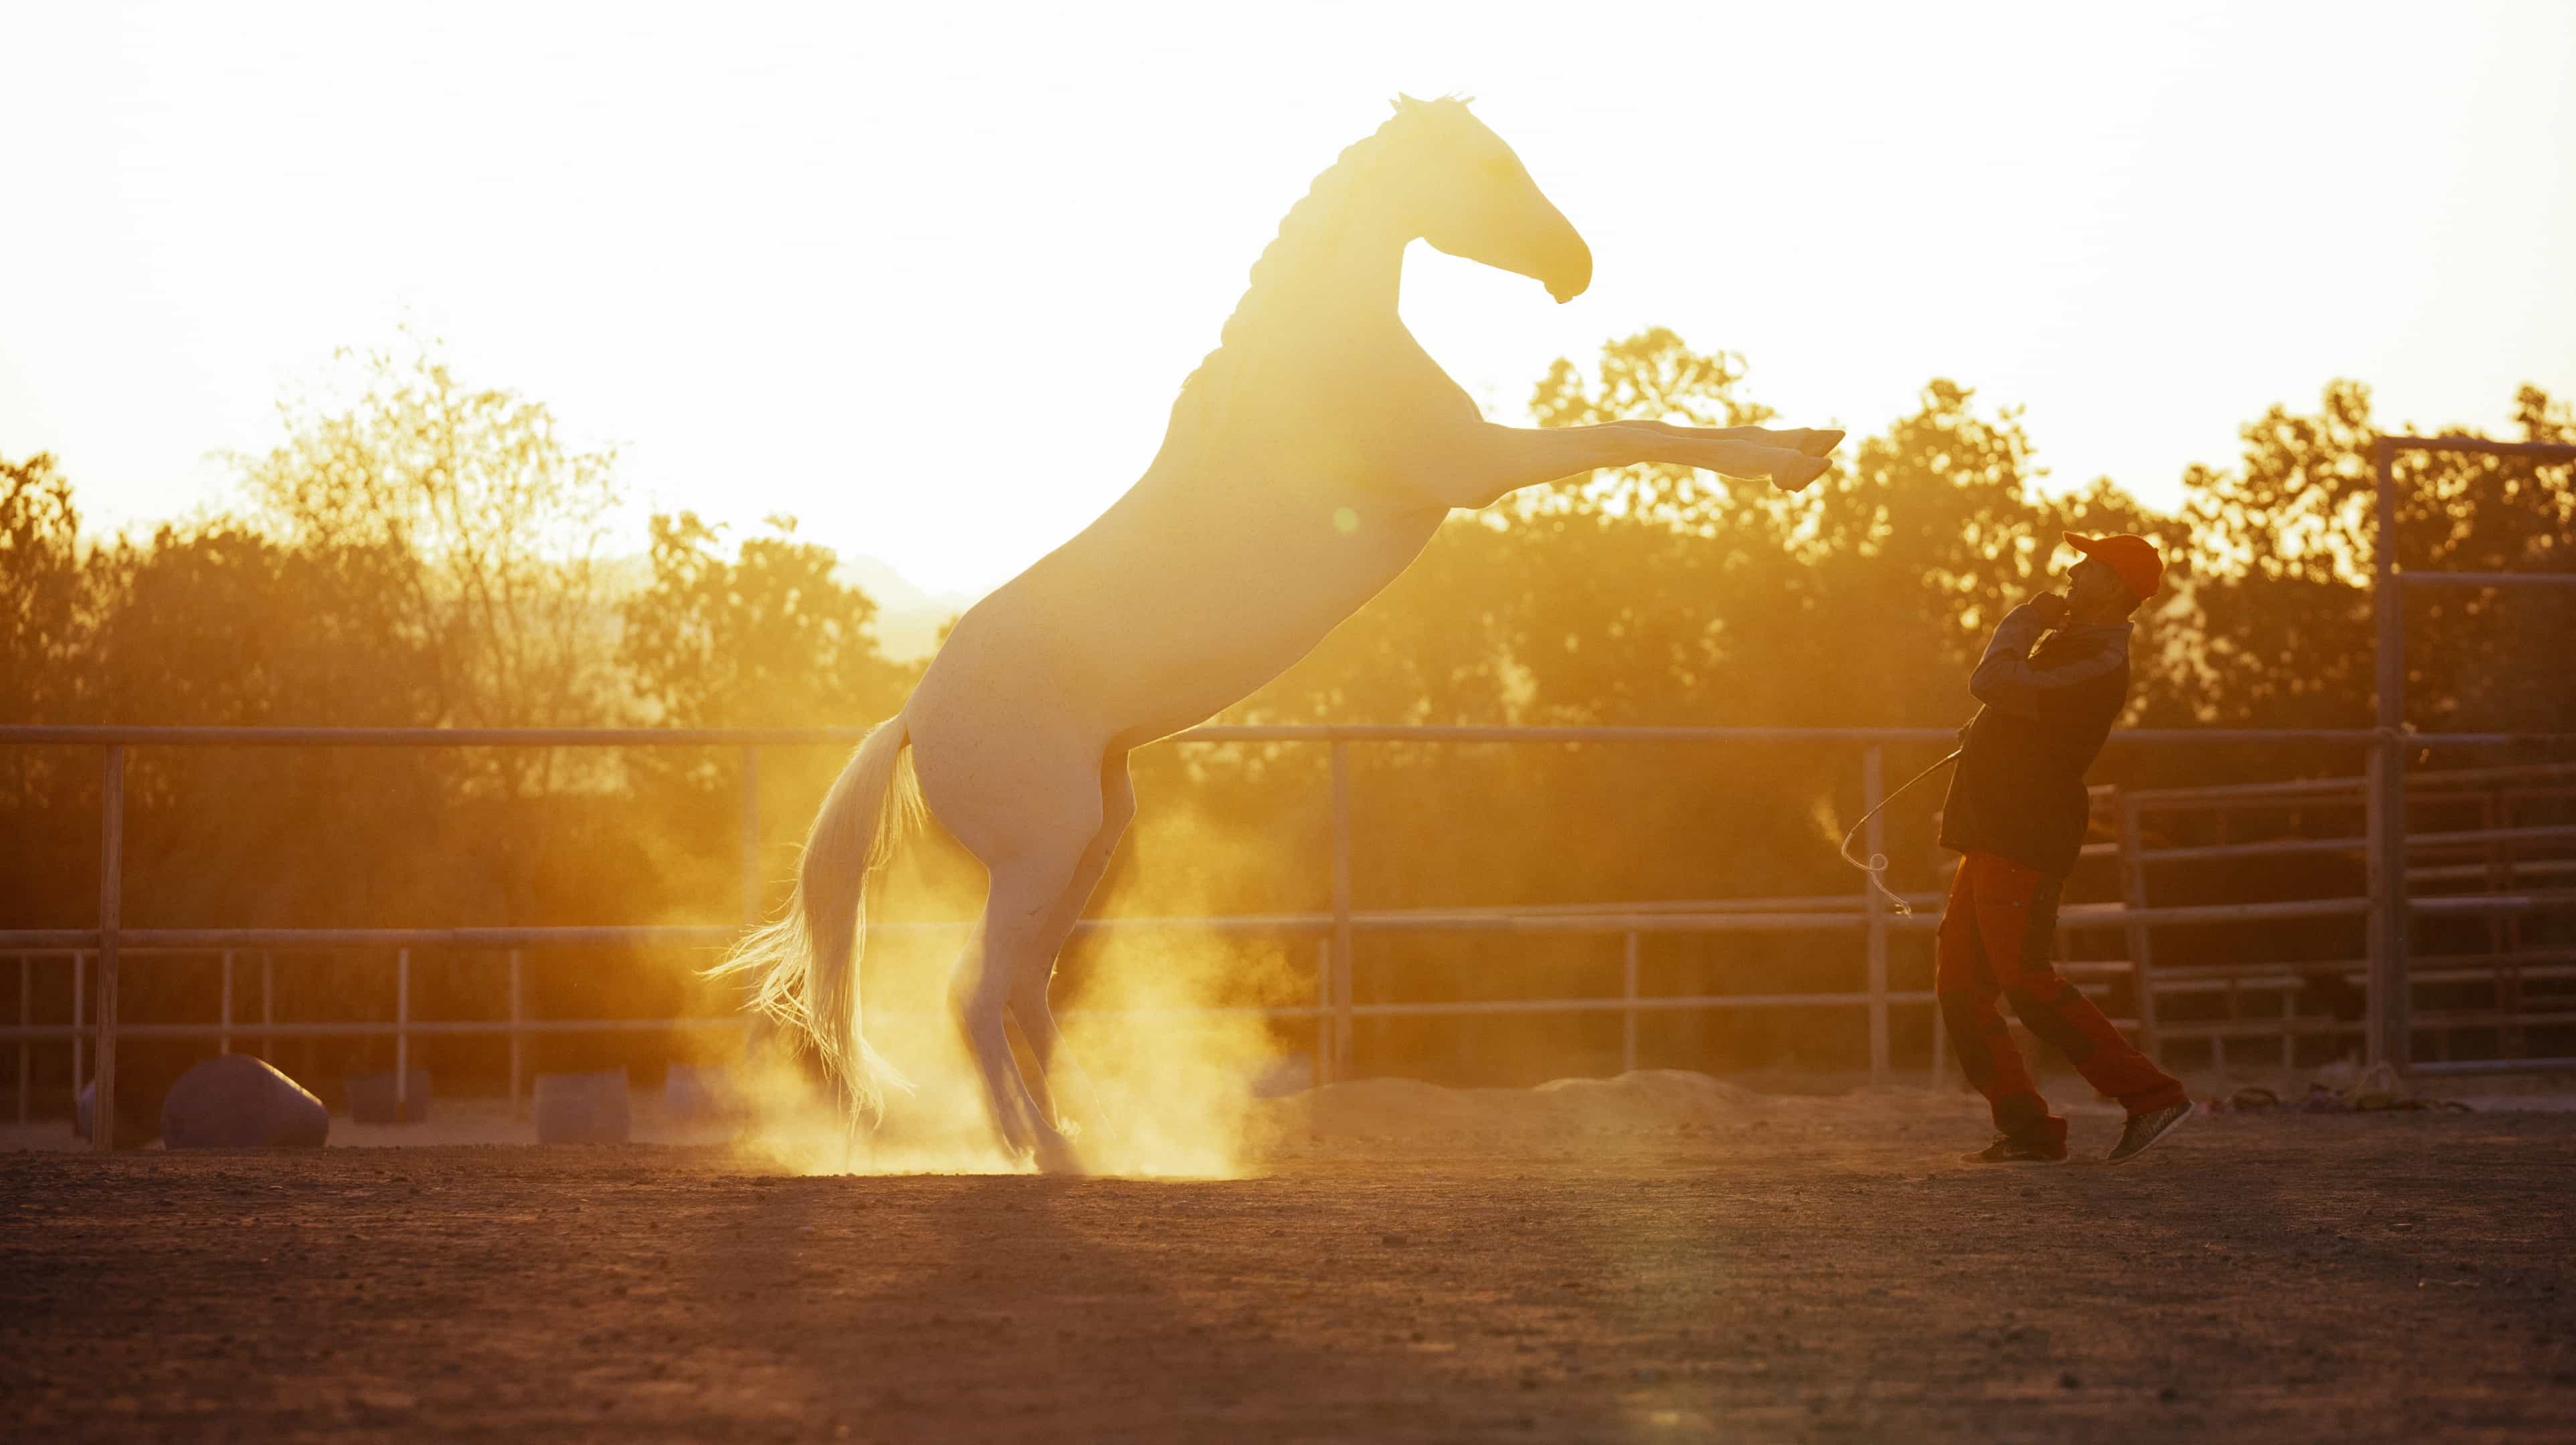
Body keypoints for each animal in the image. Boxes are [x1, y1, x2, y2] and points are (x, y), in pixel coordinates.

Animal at [711, 96, 1834, 1164]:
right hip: (1041, 855)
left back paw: (1095, 1138)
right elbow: (1629, 432)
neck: (1318, 356)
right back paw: (1046, 1153)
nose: (1576, 268)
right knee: (978, 995)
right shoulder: (1479, 466)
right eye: (1489, 164)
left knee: (1019, 989)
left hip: (1090, 842)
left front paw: (1808, 443)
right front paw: (1794, 457)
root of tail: (912, 716)